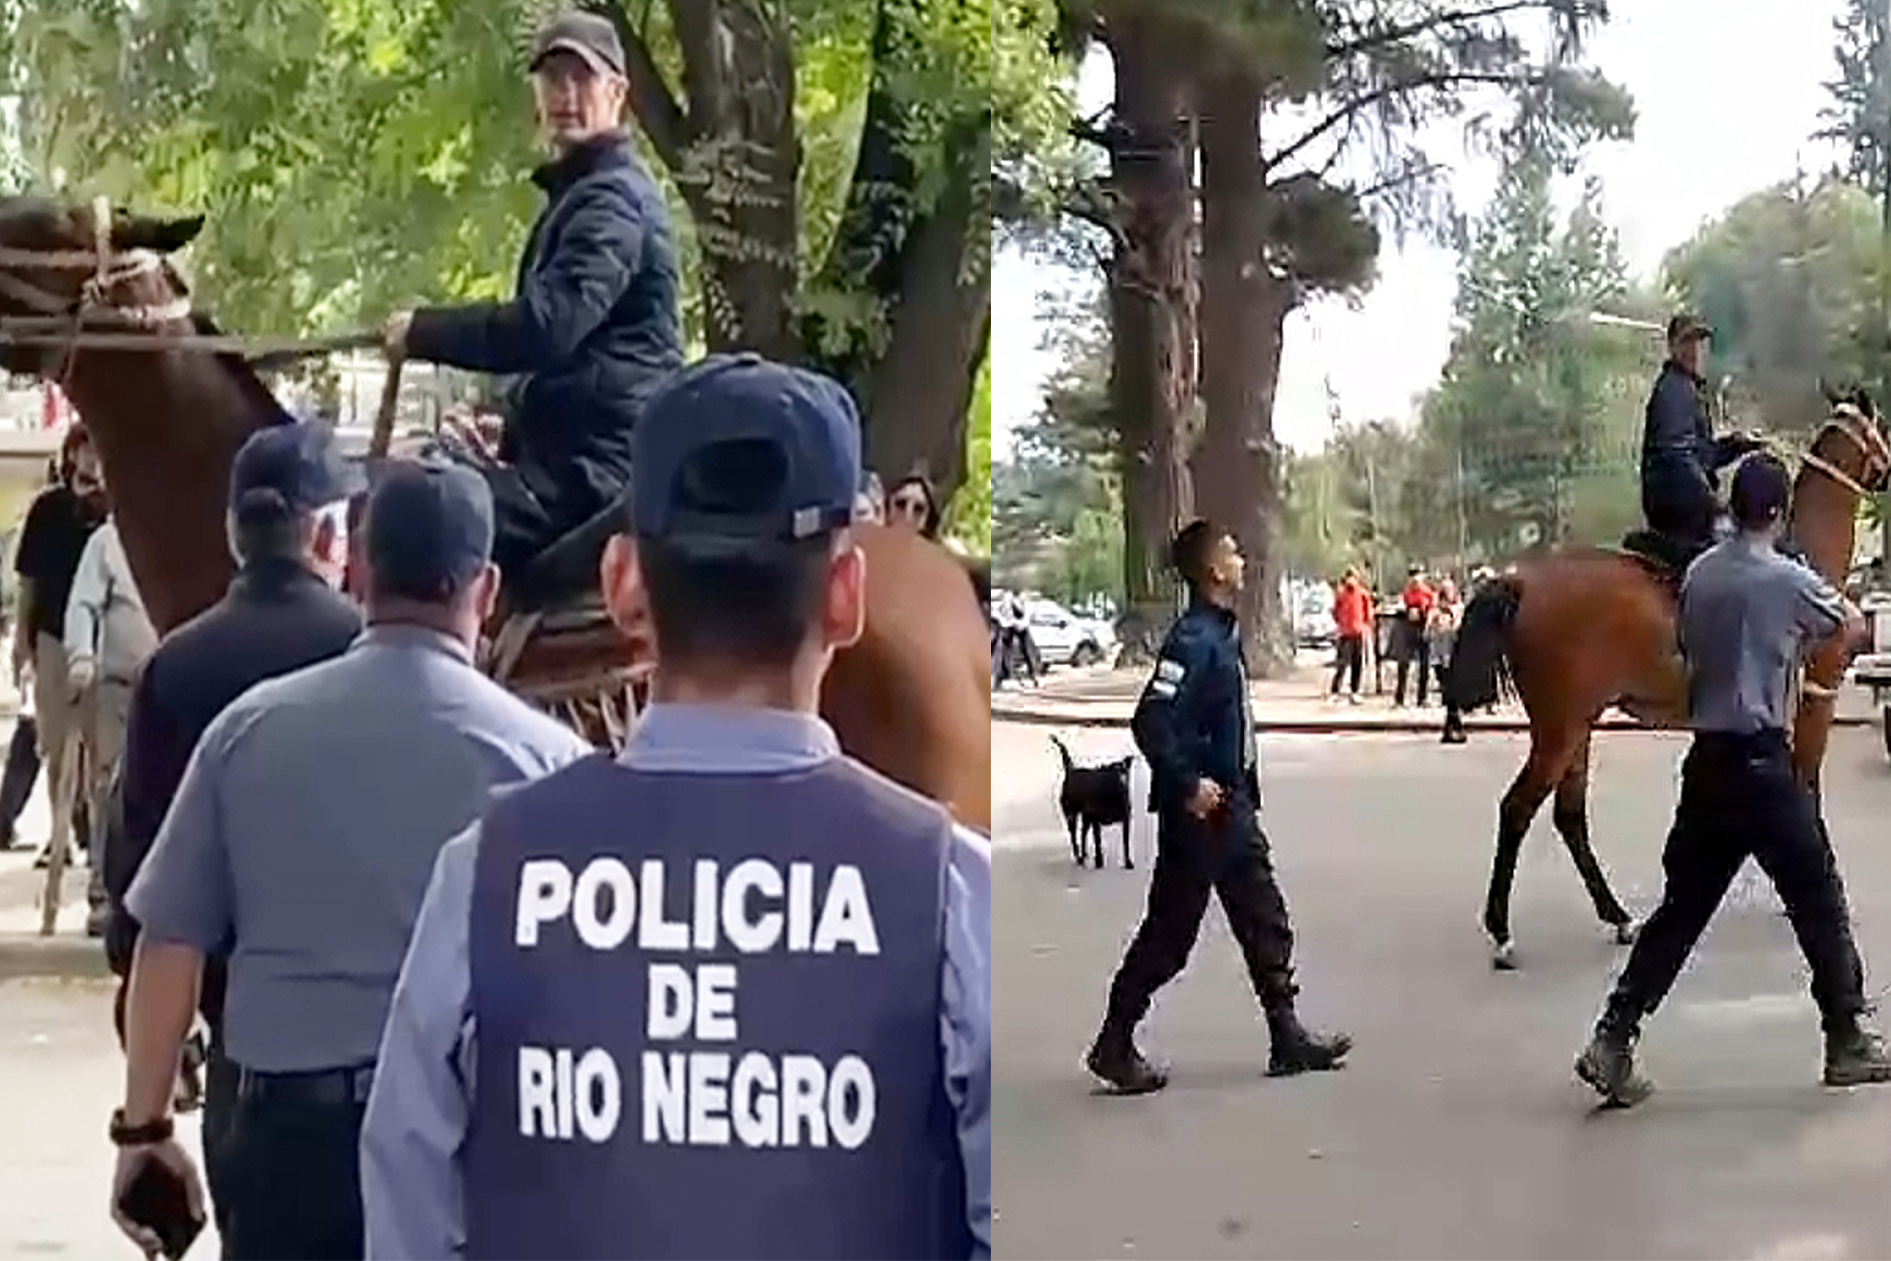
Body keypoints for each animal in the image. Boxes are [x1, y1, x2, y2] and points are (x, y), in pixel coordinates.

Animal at [1058, 733, 1127, 873]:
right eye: (1110, 774)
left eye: (1125, 772)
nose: (1121, 781)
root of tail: (1070, 770)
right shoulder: (1096, 821)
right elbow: (1098, 841)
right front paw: (1099, 861)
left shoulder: (1126, 820)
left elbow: (1126, 843)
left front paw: (1129, 863)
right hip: (1072, 815)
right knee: (1074, 836)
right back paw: (1079, 858)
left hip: (1086, 818)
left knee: (1082, 834)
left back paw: (1083, 855)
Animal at [1444, 389, 1891, 975]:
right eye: (1880, 427)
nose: (1889, 470)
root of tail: (1519, 579)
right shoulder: (1815, 707)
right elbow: (1807, 793)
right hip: (1561, 727)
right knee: (1517, 809)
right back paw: (1503, 933)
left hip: (1577, 725)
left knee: (1569, 816)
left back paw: (1616, 916)